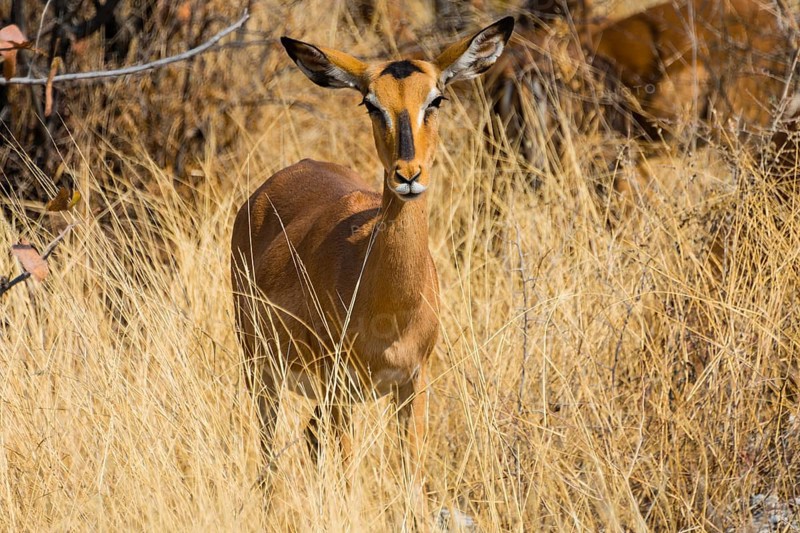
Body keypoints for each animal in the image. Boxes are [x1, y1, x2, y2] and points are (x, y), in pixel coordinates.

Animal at [230, 16, 514, 510]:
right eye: (370, 103)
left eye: (436, 98)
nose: (408, 175)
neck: (389, 310)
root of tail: (267, 189)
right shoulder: (341, 386)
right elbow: (347, 480)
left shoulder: (413, 384)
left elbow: (411, 482)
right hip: (262, 370)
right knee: (268, 454)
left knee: (308, 438)